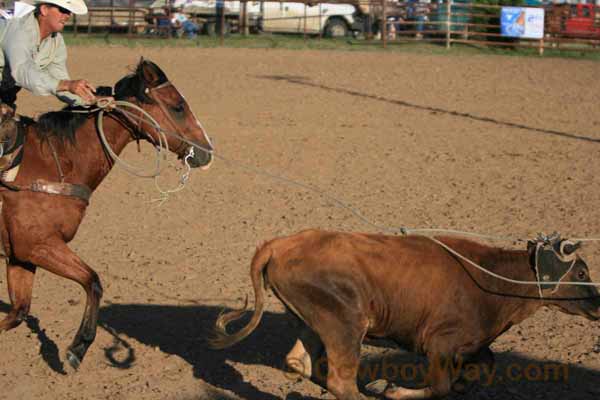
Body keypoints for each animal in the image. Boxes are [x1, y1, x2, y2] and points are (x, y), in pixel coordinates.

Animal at [0, 58, 214, 368]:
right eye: (177, 107)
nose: (206, 151)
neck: (54, 163)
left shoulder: (20, 255)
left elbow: (18, 312)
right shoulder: (38, 245)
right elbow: (93, 281)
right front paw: (78, 347)